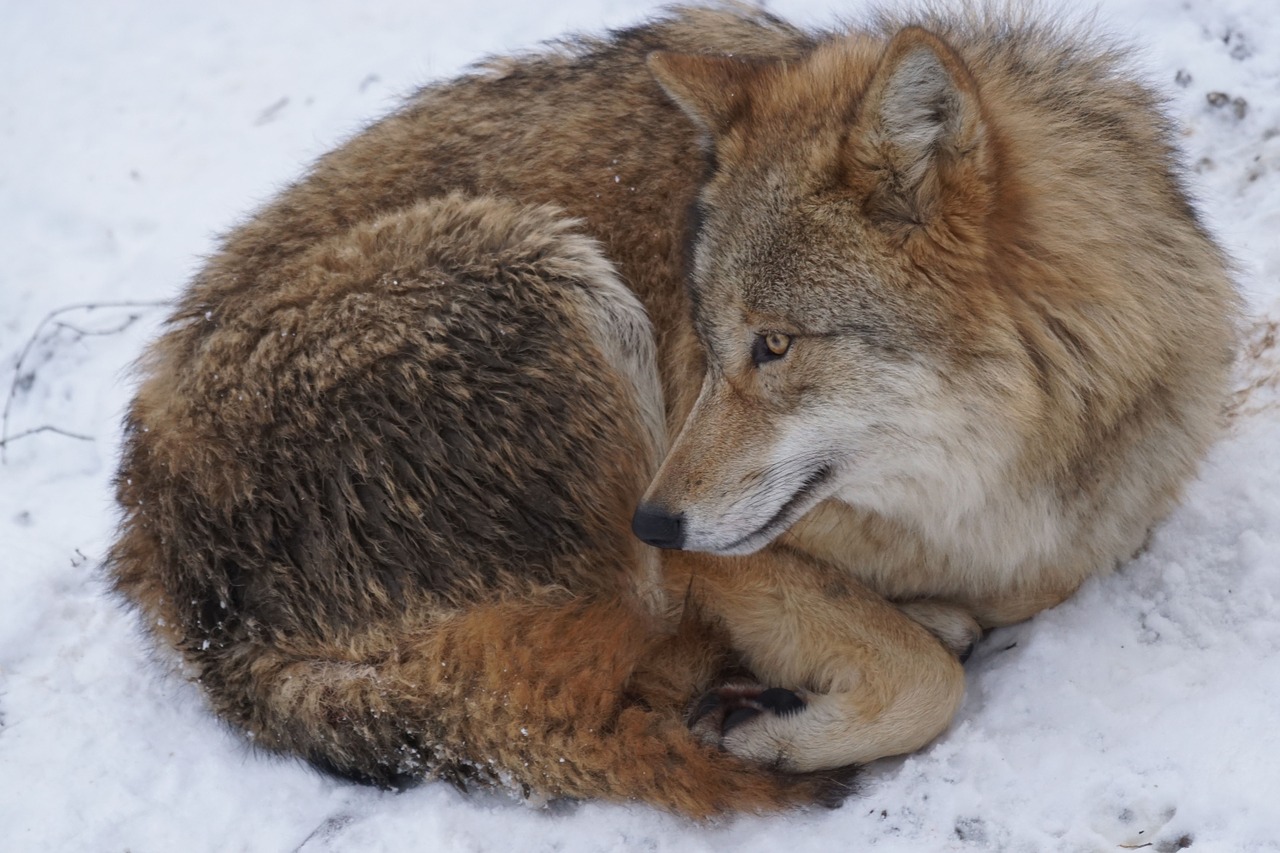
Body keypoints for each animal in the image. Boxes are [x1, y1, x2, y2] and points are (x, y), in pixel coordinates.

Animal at [112, 1, 1239, 809]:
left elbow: (992, 609)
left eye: (773, 344)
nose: (650, 517)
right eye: (706, 335)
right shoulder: (722, 562)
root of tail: (166, 567)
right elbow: (927, 680)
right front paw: (789, 728)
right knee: (610, 660)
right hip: (546, 264)